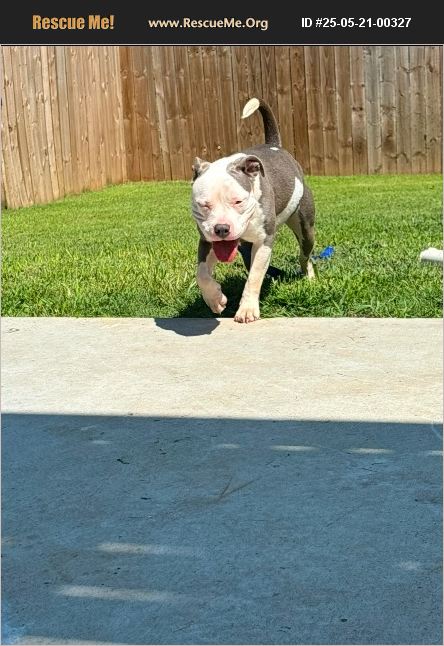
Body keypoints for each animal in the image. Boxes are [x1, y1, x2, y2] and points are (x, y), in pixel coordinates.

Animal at [191, 97, 315, 323]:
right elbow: (202, 273)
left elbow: (255, 276)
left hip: (306, 227)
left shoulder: (264, 240)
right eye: (204, 204)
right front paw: (215, 299)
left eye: (238, 201)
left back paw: (309, 278)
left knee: (304, 256)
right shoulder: (207, 241)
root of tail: (274, 145)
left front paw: (247, 309)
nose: (221, 228)